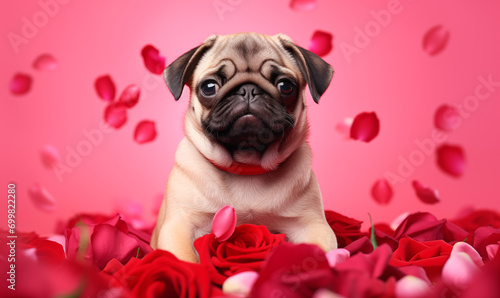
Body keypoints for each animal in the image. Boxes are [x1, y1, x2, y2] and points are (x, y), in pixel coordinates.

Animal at [150, 32, 338, 264]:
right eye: (209, 87)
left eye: (285, 85)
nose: (248, 89)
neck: (246, 166)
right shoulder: (179, 225)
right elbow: (185, 260)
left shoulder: (312, 225)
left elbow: (316, 252)